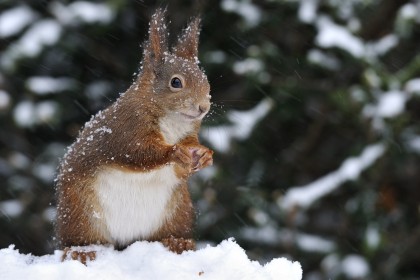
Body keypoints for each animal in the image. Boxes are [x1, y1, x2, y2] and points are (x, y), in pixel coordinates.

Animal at [55, 8, 213, 262]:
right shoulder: (126, 129)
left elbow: (182, 168)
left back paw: (177, 242)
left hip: (178, 211)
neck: (172, 122)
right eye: (175, 82)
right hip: (80, 213)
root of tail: (127, 240)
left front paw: (205, 155)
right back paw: (81, 250)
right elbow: (136, 153)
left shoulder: (188, 136)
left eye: (205, 79)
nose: (203, 107)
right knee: (80, 239)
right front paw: (174, 152)